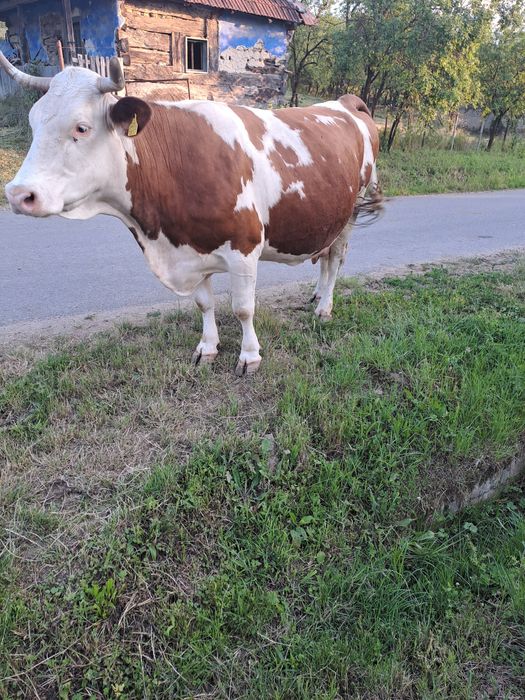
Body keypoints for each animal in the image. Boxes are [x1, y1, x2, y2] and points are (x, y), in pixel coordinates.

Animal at [1, 54, 381, 375]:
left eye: (81, 127)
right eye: (33, 123)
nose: (19, 194)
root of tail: (343, 102)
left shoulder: (244, 247)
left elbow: (243, 308)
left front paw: (249, 356)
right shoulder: (190, 250)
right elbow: (204, 304)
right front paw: (207, 348)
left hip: (351, 210)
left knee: (336, 258)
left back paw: (324, 308)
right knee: (325, 258)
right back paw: (316, 295)